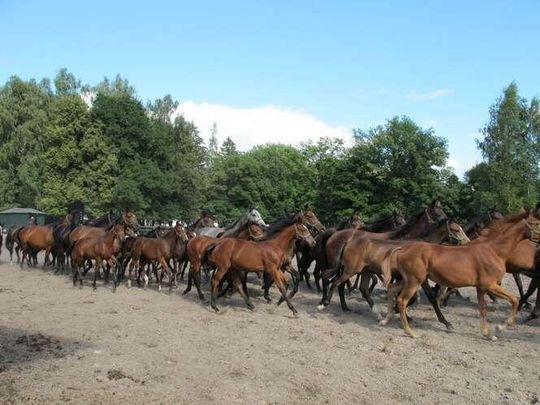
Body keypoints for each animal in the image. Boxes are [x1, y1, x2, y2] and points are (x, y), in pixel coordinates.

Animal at [380, 211, 540, 339]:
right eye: (537, 223)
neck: (494, 250)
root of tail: (403, 248)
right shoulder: (490, 285)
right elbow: (514, 300)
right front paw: (500, 328)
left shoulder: (481, 288)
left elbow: (483, 309)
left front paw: (487, 334)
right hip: (414, 281)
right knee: (401, 301)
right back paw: (411, 332)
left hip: (409, 280)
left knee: (392, 289)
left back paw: (385, 320)